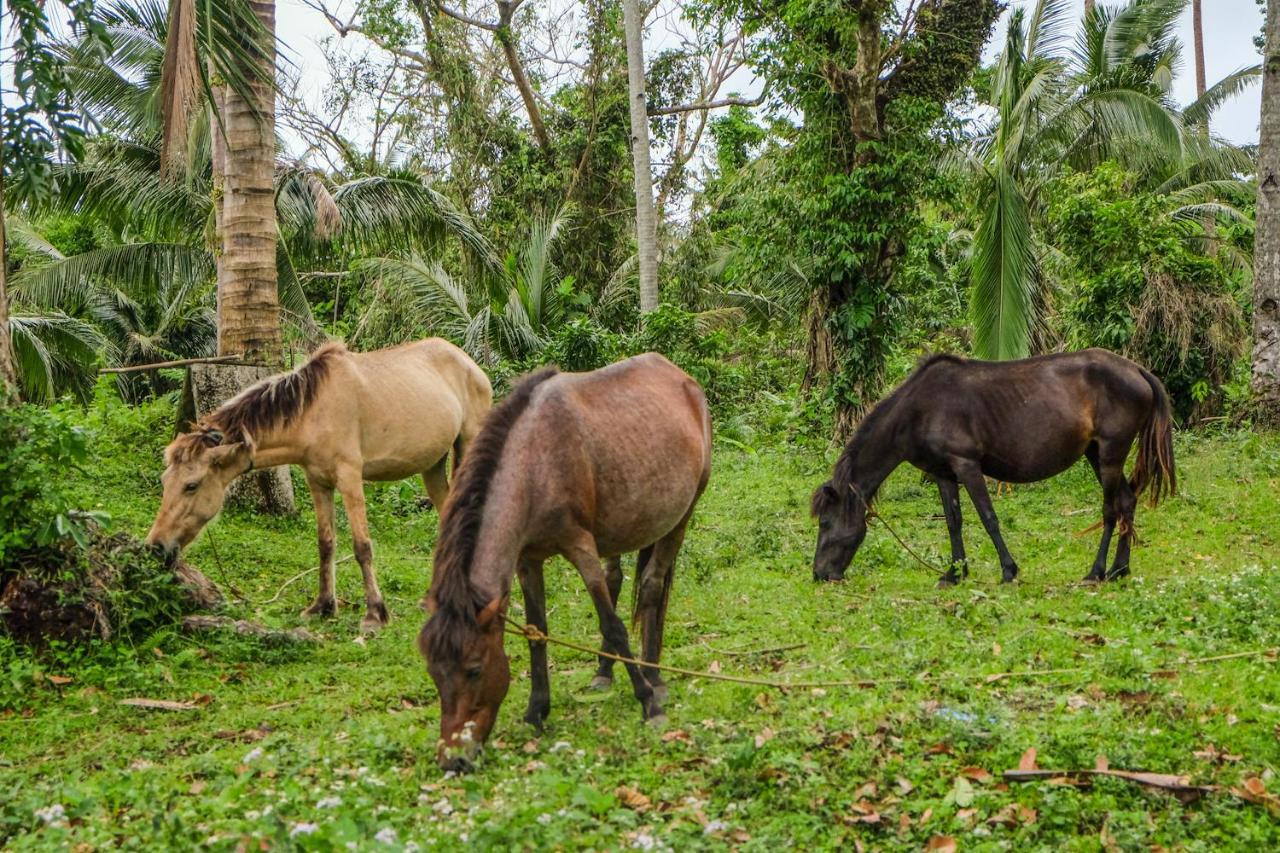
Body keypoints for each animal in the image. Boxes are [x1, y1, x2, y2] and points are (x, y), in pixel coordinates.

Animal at [146, 338, 488, 630]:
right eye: (165, 481)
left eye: (191, 485)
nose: (155, 546)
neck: (312, 411)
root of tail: (469, 363)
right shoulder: (318, 482)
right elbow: (325, 544)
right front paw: (323, 605)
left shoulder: (350, 477)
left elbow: (362, 546)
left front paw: (375, 613)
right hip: (433, 467)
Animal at [417, 350, 711, 768]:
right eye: (434, 673)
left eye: (474, 670)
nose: (453, 759)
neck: (535, 464)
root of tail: (681, 378)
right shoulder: (527, 560)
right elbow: (537, 633)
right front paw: (536, 712)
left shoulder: (579, 545)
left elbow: (613, 625)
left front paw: (649, 705)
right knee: (617, 579)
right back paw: (604, 673)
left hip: (679, 519)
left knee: (652, 588)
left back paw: (654, 678)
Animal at [814, 350, 1172, 584]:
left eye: (825, 523)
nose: (819, 574)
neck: (918, 410)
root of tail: (1137, 370)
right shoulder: (943, 473)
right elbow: (953, 522)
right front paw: (954, 573)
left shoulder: (967, 465)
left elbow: (989, 518)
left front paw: (1009, 571)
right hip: (1096, 455)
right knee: (1127, 501)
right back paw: (1119, 569)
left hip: (1111, 453)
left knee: (1110, 510)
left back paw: (1096, 571)